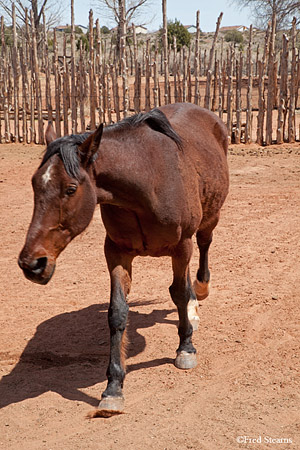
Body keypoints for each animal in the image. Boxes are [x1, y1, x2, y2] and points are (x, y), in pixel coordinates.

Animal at [18, 103, 229, 416]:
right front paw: (113, 388)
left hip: (208, 219)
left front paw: (186, 348)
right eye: (34, 184)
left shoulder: (181, 246)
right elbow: (117, 313)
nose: (32, 263)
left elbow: (179, 293)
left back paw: (199, 294)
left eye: (70, 189)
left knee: (203, 247)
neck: (147, 182)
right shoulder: (117, 252)